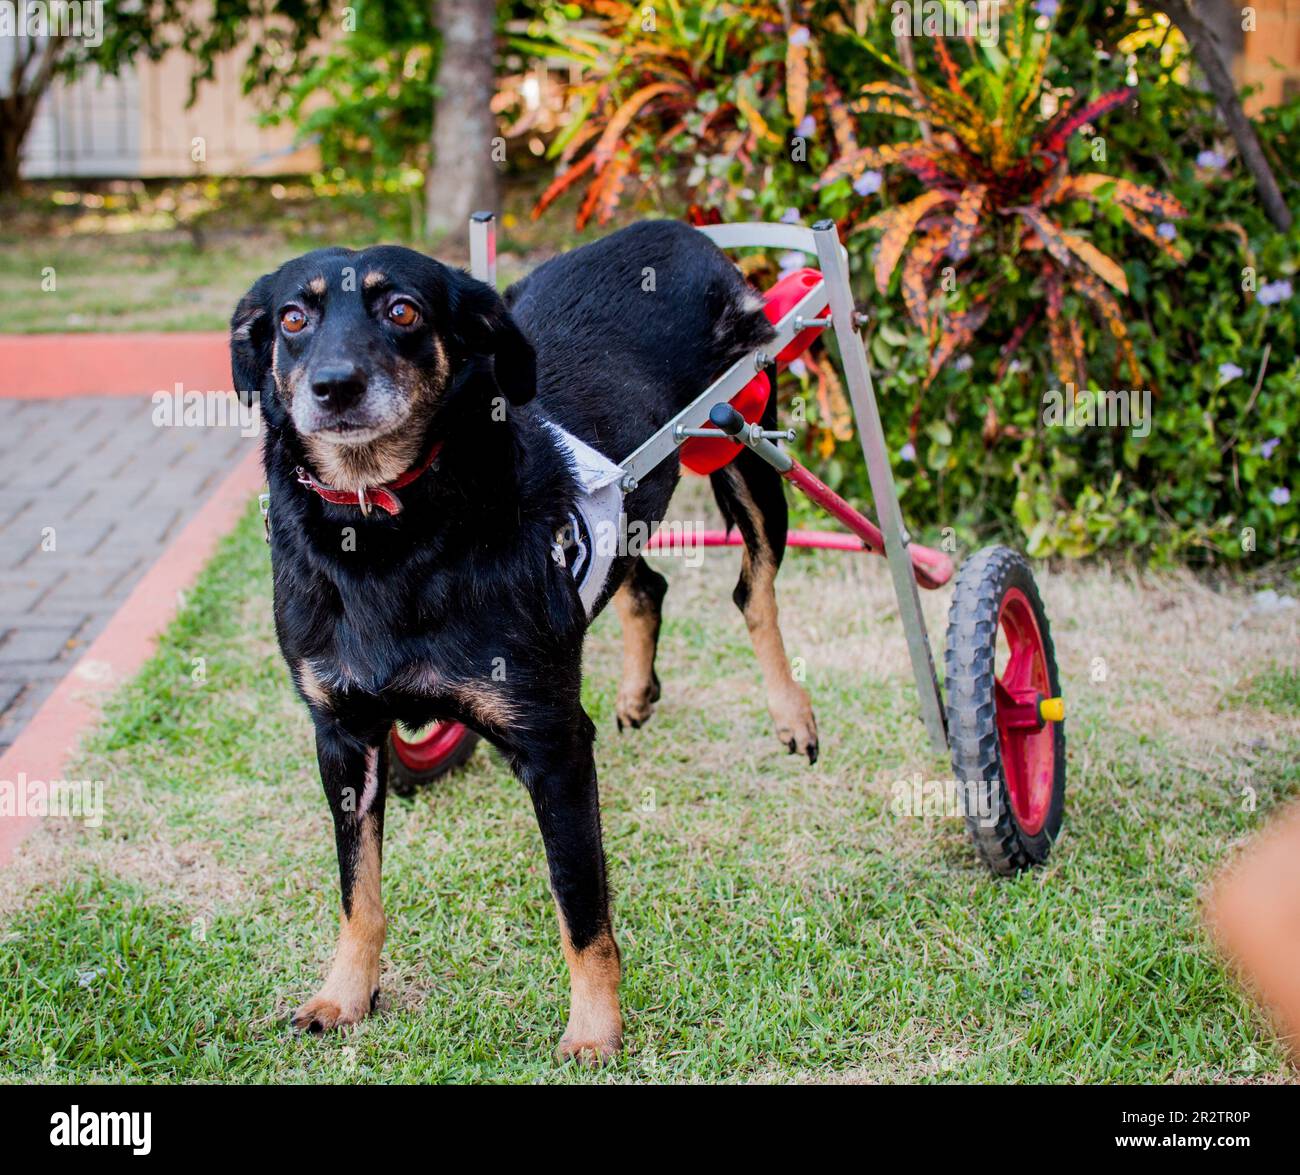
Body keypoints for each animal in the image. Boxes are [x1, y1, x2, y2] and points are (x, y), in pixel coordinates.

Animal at [228, 220, 816, 1065]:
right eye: (292, 319)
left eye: (403, 311)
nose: (334, 387)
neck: (385, 531)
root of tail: (677, 229)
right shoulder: (342, 737)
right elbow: (357, 889)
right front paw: (345, 995)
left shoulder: (554, 744)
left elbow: (581, 904)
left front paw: (595, 1030)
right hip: (628, 504)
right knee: (644, 583)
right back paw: (639, 690)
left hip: (745, 444)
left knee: (754, 588)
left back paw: (791, 713)